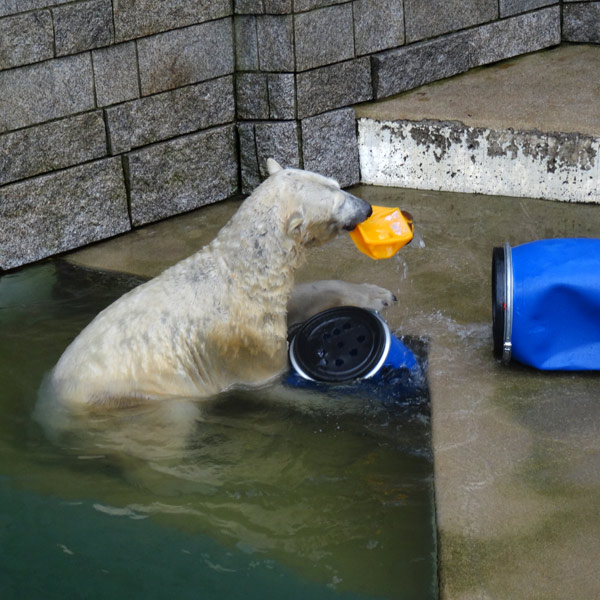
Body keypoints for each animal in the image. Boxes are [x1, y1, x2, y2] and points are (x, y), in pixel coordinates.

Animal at [49, 159, 396, 410]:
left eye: (337, 184)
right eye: (338, 203)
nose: (367, 208)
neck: (240, 274)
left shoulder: (265, 302)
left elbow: (297, 300)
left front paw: (377, 294)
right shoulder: (245, 343)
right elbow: (271, 379)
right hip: (141, 392)